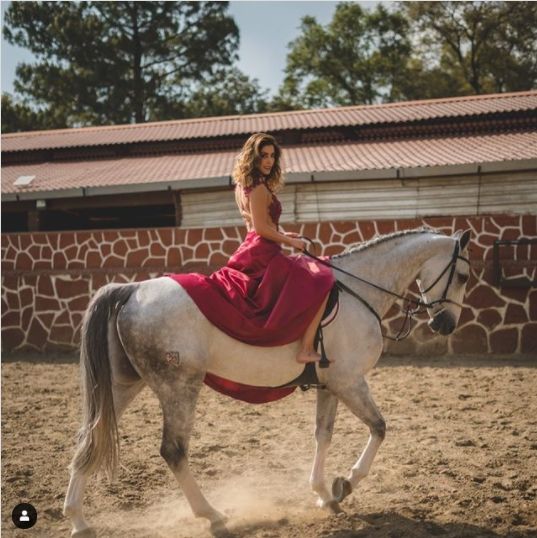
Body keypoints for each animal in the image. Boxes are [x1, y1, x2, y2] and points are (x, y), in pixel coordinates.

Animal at [65, 226, 472, 532]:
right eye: (464, 275)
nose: (446, 324)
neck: (360, 290)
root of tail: (132, 290)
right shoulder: (350, 382)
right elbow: (379, 428)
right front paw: (345, 484)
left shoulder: (331, 385)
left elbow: (323, 436)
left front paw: (323, 493)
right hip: (179, 387)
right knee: (173, 451)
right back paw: (212, 515)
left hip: (123, 386)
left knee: (88, 438)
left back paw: (78, 519)